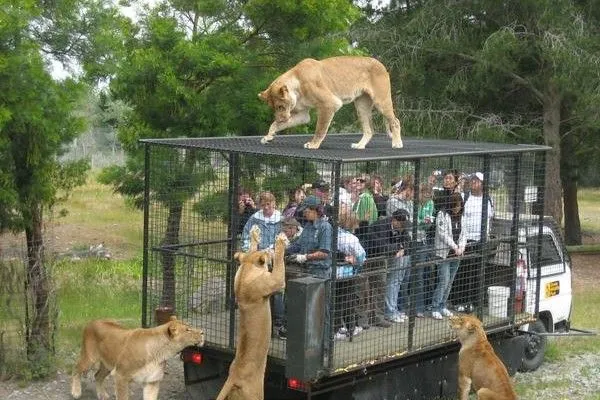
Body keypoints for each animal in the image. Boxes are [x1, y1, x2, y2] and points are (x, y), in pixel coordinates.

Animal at [216, 225, 288, 400]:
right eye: (266, 253)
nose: (269, 250)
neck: (247, 268)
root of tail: (234, 377)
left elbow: (250, 248)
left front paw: (255, 233)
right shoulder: (275, 281)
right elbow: (279, 264)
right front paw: (280, 242)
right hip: (255, 394)